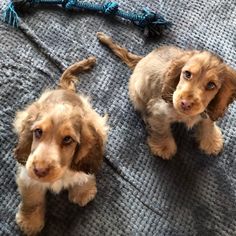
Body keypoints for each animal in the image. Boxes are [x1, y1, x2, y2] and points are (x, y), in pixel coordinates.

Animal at [13, 56, 108, 234]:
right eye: (38, 132)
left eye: (67, 139)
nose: (39, 170)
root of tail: (66, 89)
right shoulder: (27, 176)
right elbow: (32, 199)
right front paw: (30, 222)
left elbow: (82, 175)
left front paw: (83, 192)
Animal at [96, 32, 236, 159]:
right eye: (187, 74)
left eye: (211, 85)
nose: (185, 103)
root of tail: (142, 59)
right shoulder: (158, 111)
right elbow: (161, 129)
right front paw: (164, 147)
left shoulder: (207, 112)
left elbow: (208, 123)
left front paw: (212, 141)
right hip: (137, 93)